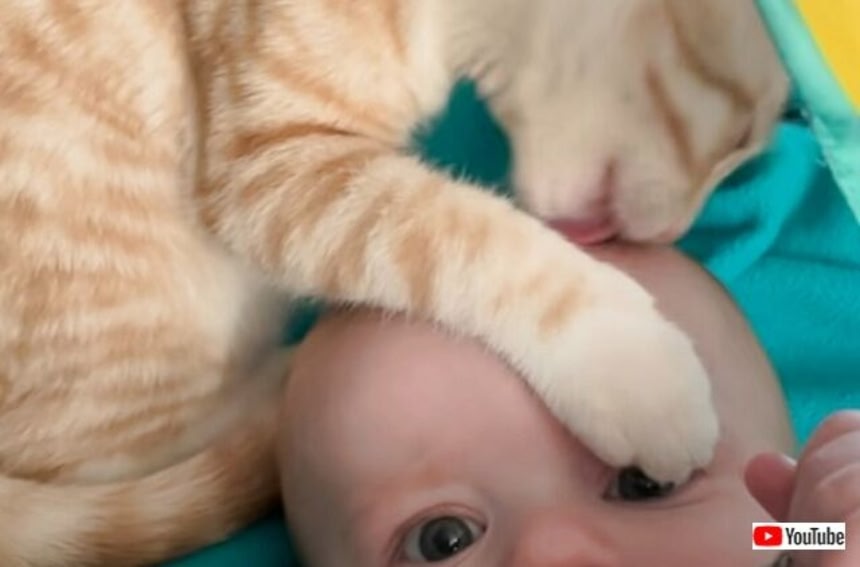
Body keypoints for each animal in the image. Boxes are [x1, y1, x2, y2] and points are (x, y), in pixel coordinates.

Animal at [0, 0, 787, 564]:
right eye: (743, 137)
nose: (669, 234)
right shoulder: (266, 164)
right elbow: (455, 231)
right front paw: (634, 365)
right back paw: (281, 382)